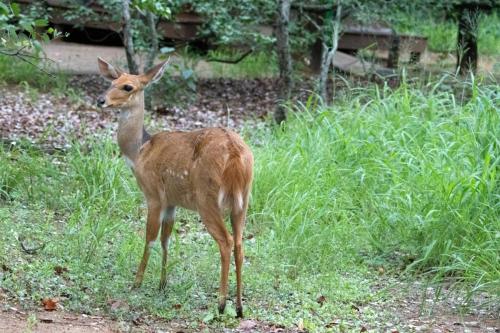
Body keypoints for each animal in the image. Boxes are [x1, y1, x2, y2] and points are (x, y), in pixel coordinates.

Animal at [96, 57, 254, 316]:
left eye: (128, 87)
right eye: (111, 82)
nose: (101, 100)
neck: (140, 151)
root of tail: (235, 154)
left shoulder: (153, 195)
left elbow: (150, 238)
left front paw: (137, 282)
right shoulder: (172, 202)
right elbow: (166, 239)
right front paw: (162, 284)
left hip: (207, 199)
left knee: (226, 241)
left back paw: (221, 303)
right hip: (243, 201)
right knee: (240, 243)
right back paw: (239, 306)